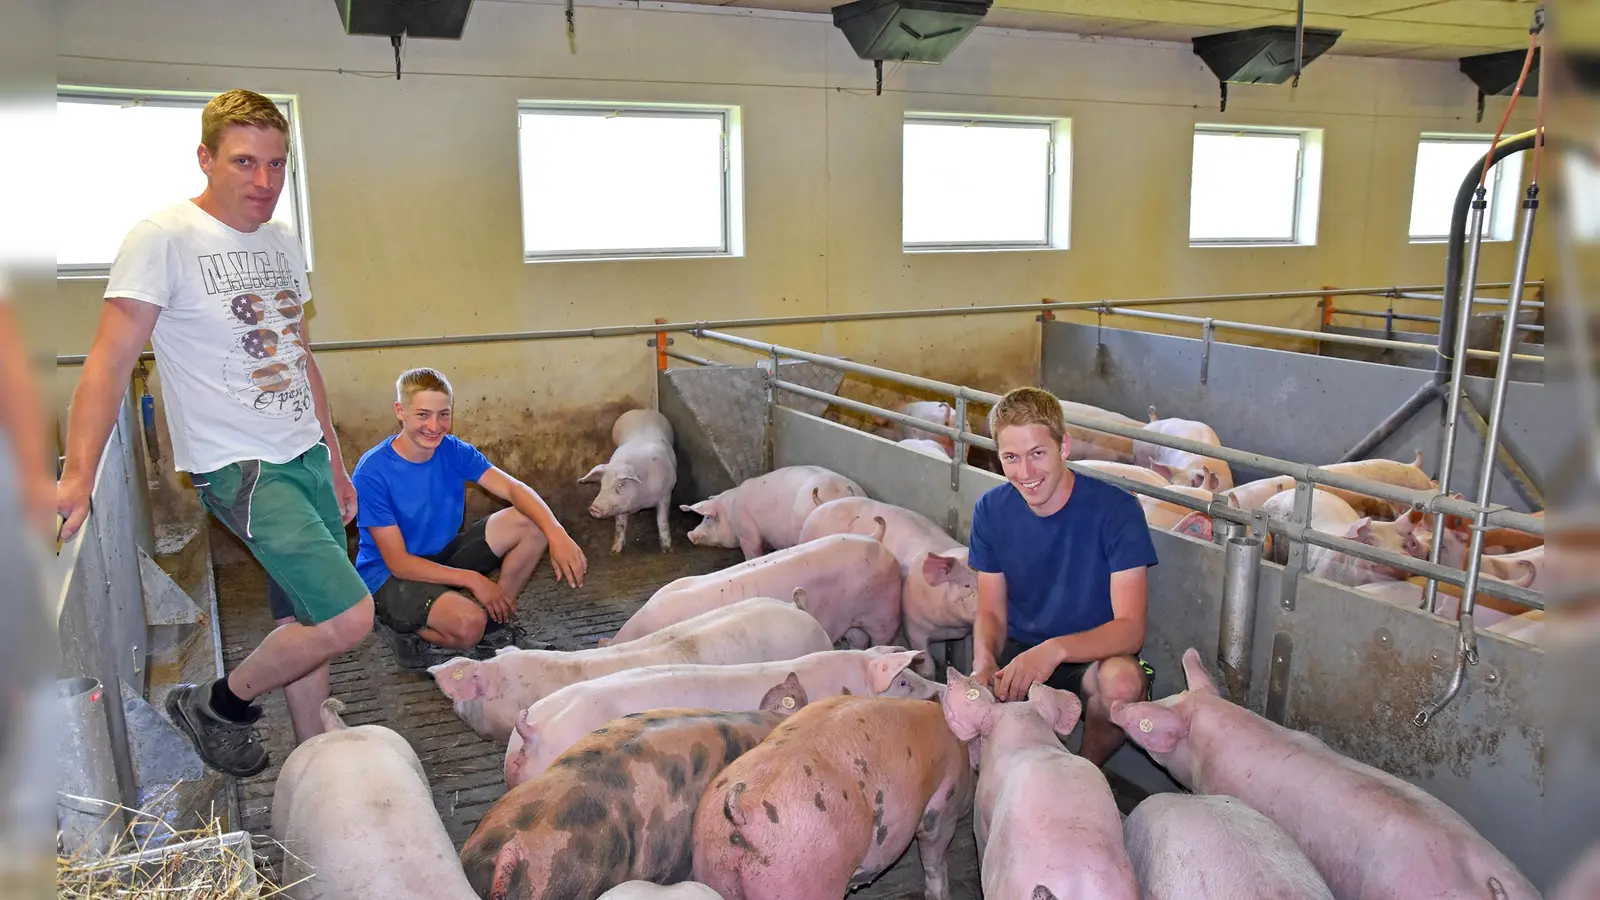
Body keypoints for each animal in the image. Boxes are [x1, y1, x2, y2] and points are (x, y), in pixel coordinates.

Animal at [684, 464, 864, 557]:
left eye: (708, 518)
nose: (690, 534)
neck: (730, 512)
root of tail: (839, 493)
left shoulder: (746, 531)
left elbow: (753, 550)